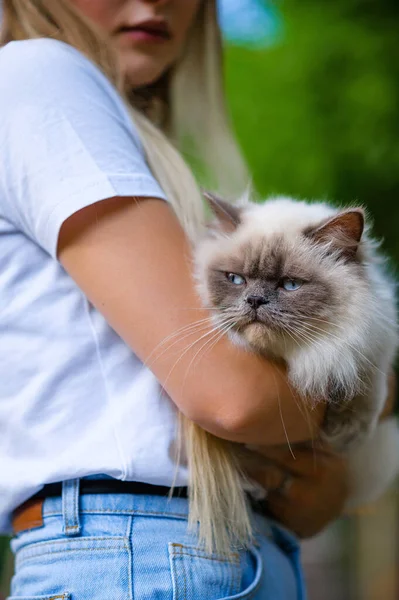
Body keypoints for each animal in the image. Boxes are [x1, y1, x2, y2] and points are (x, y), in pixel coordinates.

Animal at [186, 192, 398, 552]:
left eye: (290, 285)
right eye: (236, 279)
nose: (254, 300)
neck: (290, 357)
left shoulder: (371, 342)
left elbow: (364, 382)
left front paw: (344, 432)